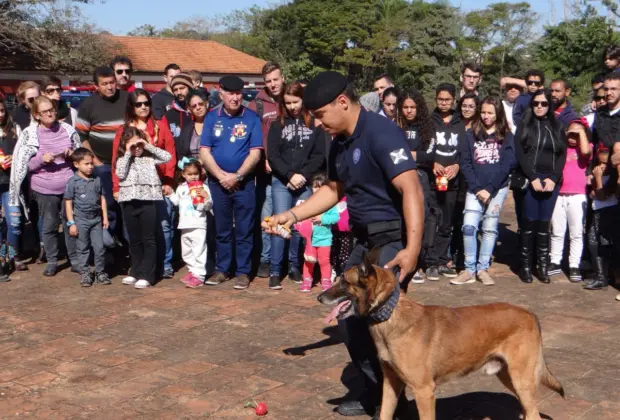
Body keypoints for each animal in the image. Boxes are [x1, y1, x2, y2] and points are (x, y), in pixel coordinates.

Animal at [318, 253, 564, 420]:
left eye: (344, 281)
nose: (319, 297)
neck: (390, 315)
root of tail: (530, 314)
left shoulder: (424, 391)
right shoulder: (391, 384)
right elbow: (385, 414)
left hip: (521, 380)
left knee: (533, 413)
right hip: (509, 377)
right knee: (528, 412)